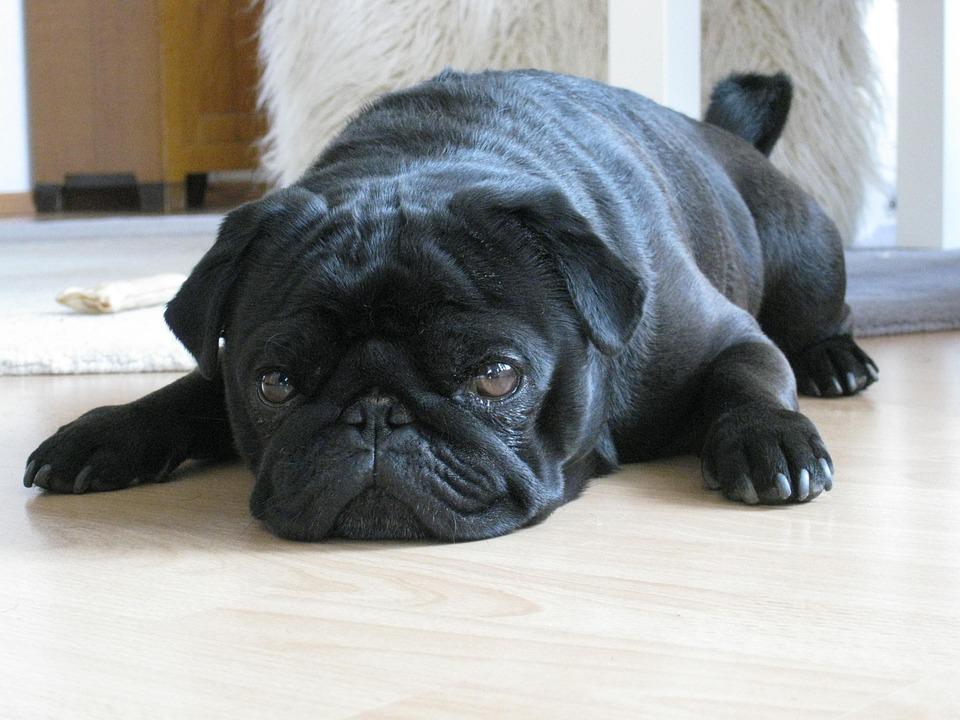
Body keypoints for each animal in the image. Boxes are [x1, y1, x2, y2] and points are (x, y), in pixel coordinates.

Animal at [22, 70, 876, 540]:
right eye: (275, 385)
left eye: (497, 378)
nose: (374, 414)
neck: (420, 159)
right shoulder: (225, 366)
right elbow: (190, 392)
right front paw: (105, 432)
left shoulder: (728, 339)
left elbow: (749, 380)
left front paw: (770, 443)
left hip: (803, 250)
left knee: (815, 321)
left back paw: (835, 362)